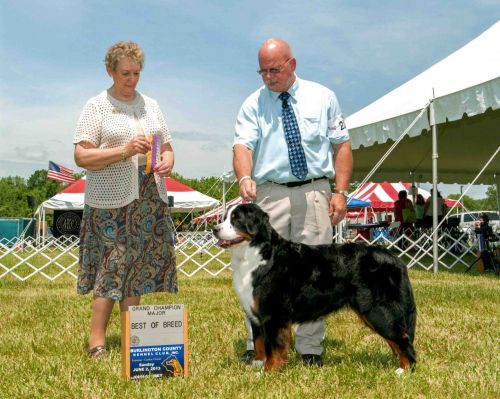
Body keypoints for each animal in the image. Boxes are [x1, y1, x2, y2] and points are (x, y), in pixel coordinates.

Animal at [214, 205, 418, 374]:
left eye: (236, 219)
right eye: (224, 218)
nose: (214, 229)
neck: (256, 255)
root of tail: (395, 259)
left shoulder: (273, 314)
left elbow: (273, 347)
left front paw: (268, 371)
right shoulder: (255, 312)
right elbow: (258, 342)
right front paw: (257, 364)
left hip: (378, 311)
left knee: (403, 339)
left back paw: (404, 370)